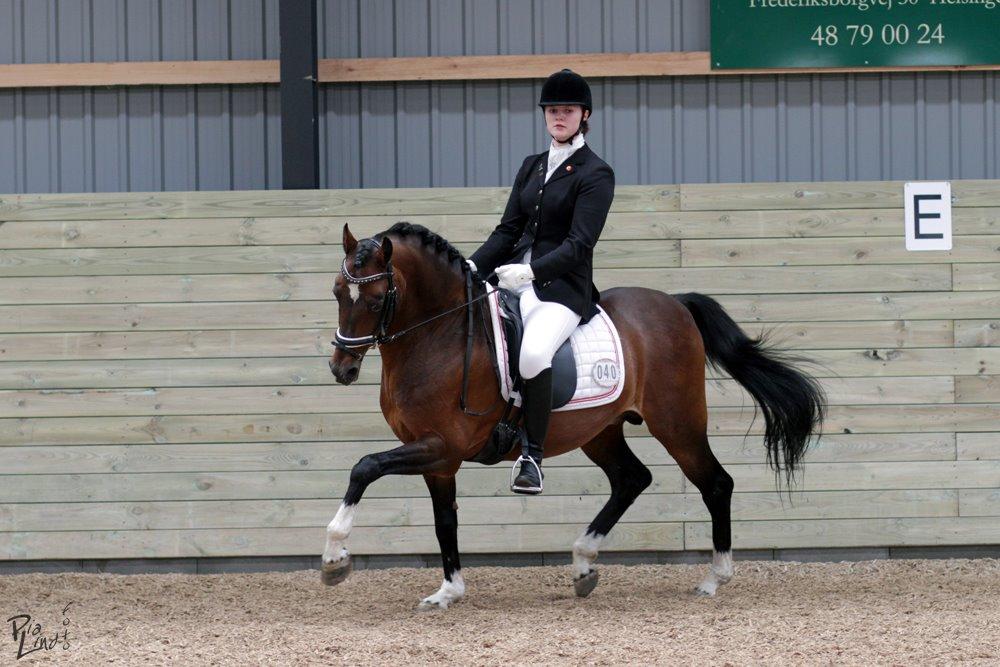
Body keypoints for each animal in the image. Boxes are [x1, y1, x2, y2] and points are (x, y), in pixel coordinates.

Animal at [324, 221, 826, 609]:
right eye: (337, 292)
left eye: (374, 299)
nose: (341, 369)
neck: (440, 334)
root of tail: (675, 303)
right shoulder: (438, 458)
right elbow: (444, 521)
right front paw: (449, 591)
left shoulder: (441, 446)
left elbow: (363, 467)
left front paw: (335, 558)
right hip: (600, 431)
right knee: (632, 479)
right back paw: (584, 564)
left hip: (677, 423)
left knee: (716, 483)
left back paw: (713, 579)